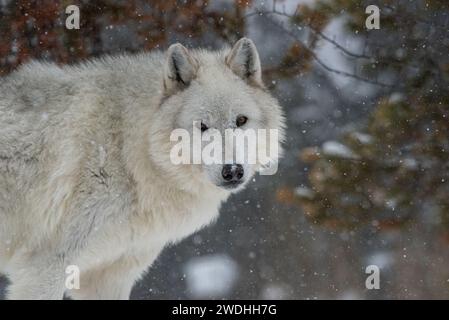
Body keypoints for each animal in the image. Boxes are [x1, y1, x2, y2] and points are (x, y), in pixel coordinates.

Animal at [0, 38, 284, 300]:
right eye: (202, 126)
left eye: (241, 120)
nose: (232, 170)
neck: (128, 153)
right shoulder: (45, 267)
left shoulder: (109, 276)